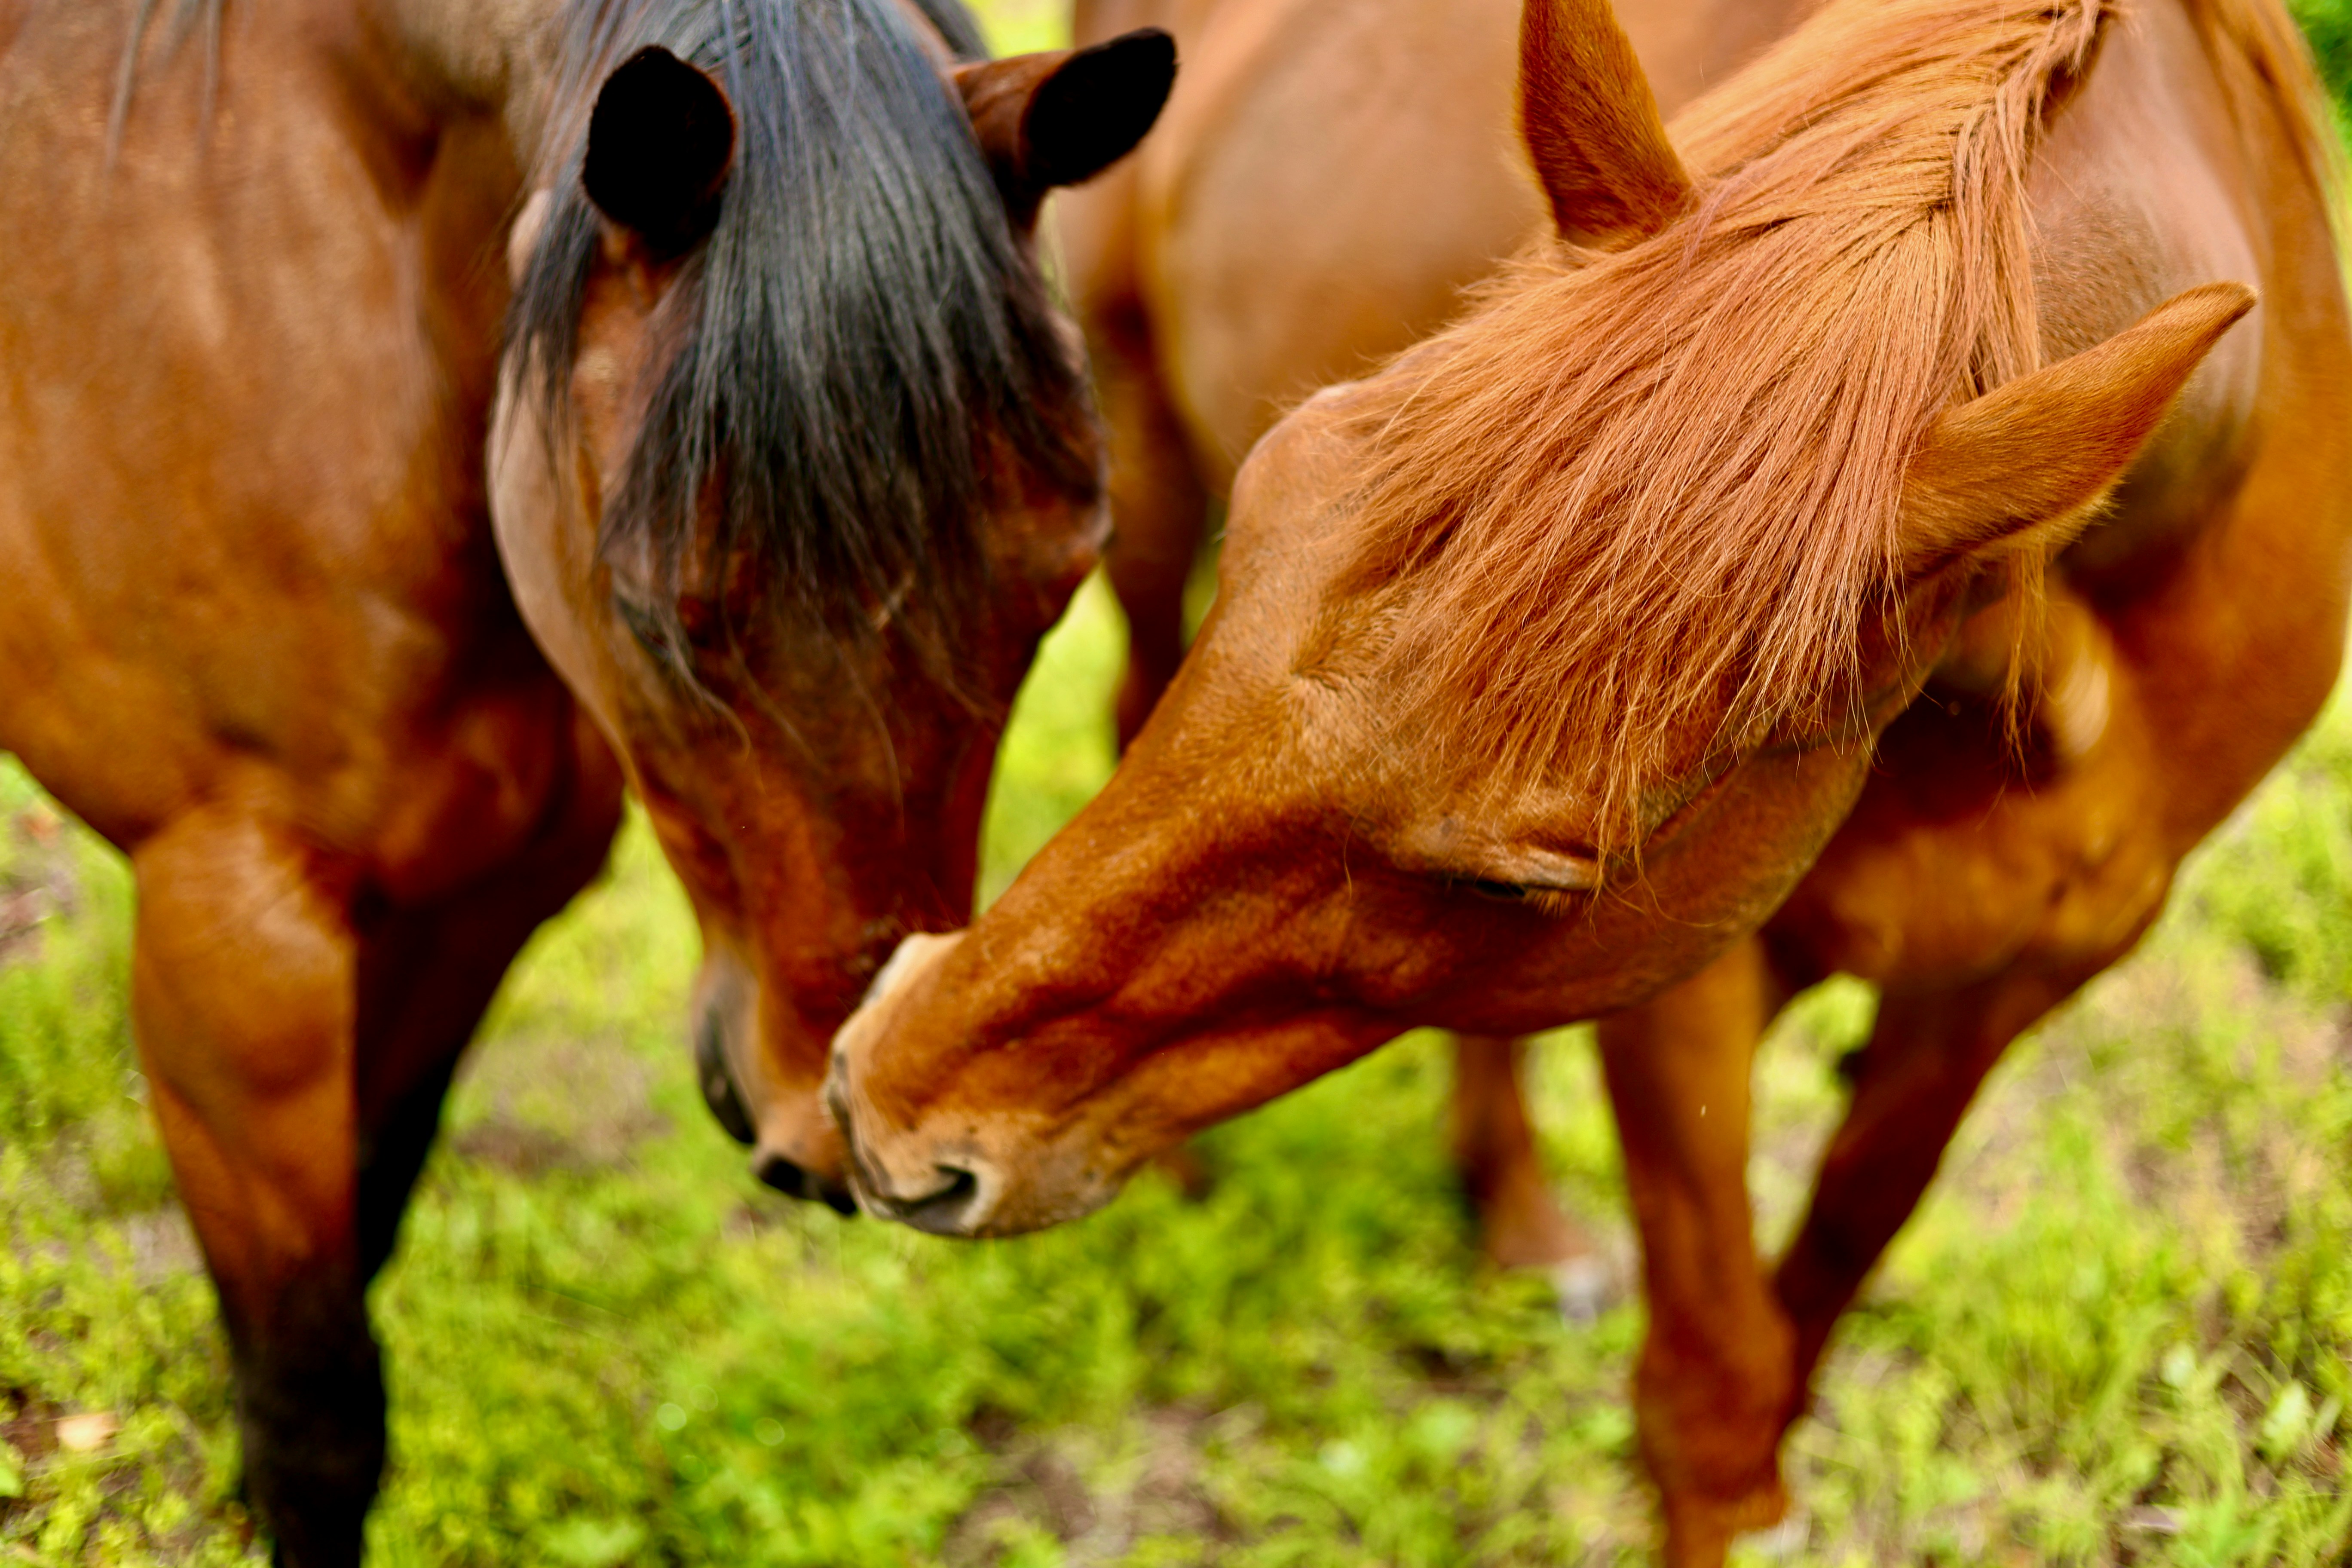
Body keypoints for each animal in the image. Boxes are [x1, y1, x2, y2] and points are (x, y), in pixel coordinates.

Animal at [0, 0, 1172, 1559]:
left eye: (1058, 584)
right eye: (660, 614)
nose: (839, 1125)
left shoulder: (480, 895)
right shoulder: (234, 954)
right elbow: (313, 1407)